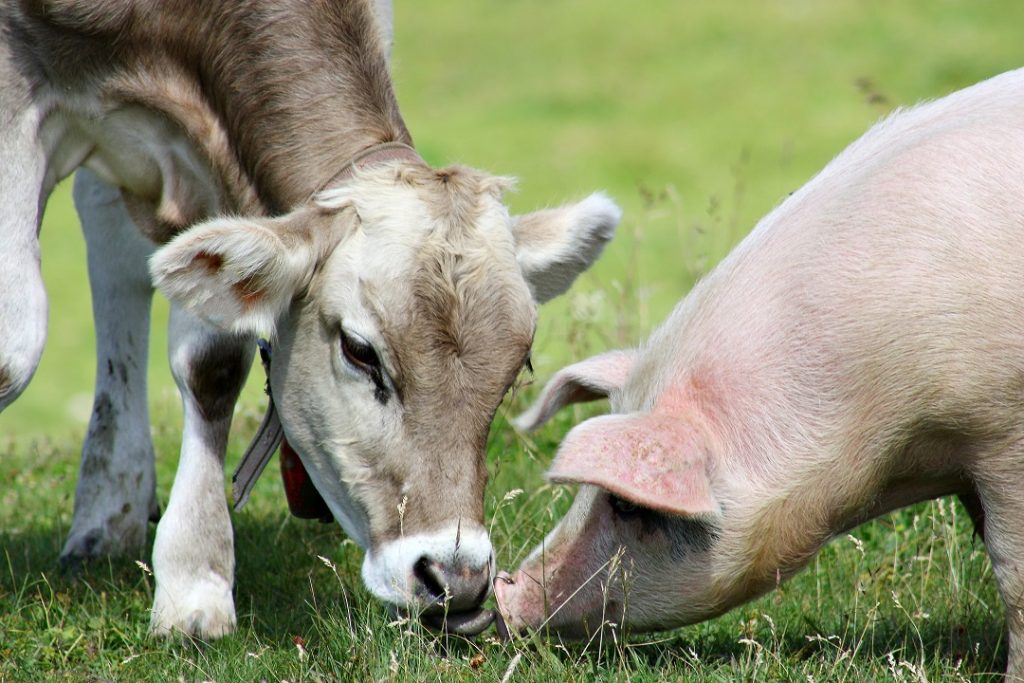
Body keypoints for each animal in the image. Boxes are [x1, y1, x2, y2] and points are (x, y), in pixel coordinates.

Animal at [0, 0, 621, 638]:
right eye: (360, 351)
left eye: (518, 367)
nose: (457, 578)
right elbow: (14, 350)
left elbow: (212, 363)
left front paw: (192, 580)